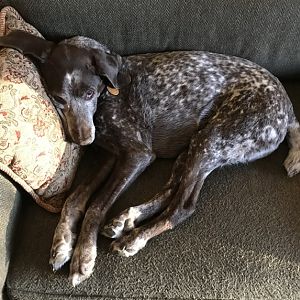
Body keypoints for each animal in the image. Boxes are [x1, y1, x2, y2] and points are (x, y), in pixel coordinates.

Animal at [0, 29, 300, 286]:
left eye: (88, 93)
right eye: (58, 99)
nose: (83, 139)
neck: (110, 94)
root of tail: (288, 111)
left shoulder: (137, 155)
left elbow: (96, 205)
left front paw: (83, 255)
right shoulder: (111, 155)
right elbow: (74, 198)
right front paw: (62, 243)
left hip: (212, 140)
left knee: (183, 206)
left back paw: (134, 239)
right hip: (193, 148)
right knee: (171, 190)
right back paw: (127, 219)